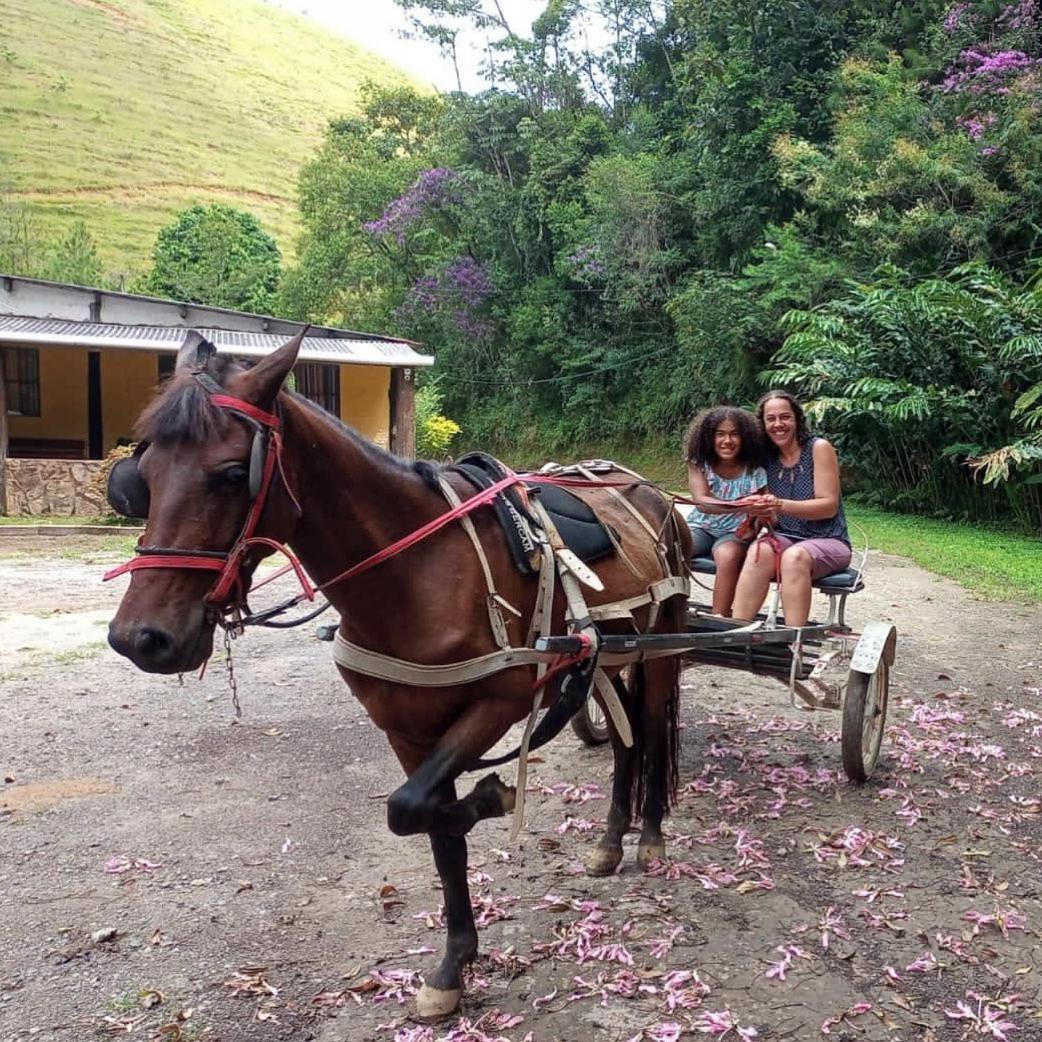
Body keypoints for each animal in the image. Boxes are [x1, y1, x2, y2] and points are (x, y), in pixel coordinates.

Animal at [107, 333, 691, 1016]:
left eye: (231, 474)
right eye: (143, 475)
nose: (140, 637)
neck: (417, 571)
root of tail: (652, 492)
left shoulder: (501, 699)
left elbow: (413, 808)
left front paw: (493, 795)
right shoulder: (406, 728)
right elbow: (430, 827)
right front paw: (455, 962)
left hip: (662, 649)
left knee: (648, 729)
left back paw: (648, 834)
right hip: (608, 656)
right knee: (625, 740)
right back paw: (611, 839)